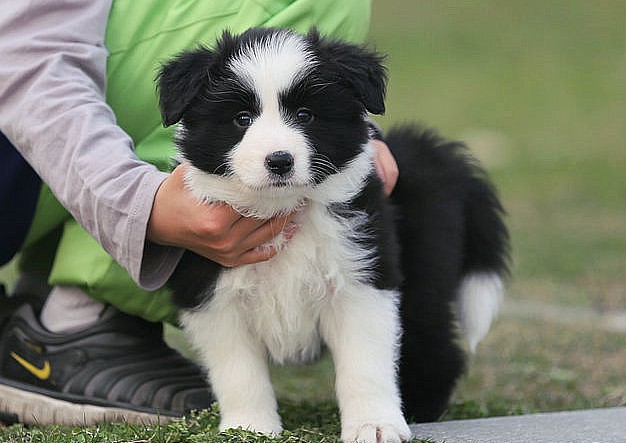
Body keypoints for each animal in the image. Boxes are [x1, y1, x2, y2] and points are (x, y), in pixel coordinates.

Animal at [156, 28, 508, 443]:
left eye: (305, 115)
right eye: (241, 119)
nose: (279, 160)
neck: (282, 211)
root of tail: (430, 153)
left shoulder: (362, 276)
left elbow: (364, 362)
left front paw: (374, 424)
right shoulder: (211, 290)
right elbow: (238, 369)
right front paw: (249, 427)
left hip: (425, 272)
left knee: (433, 343)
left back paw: (420, 407)